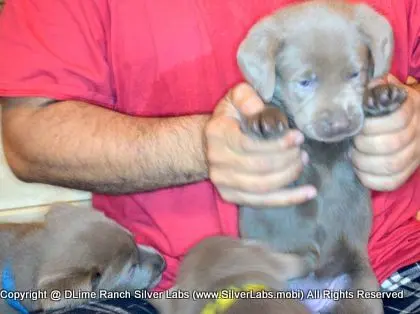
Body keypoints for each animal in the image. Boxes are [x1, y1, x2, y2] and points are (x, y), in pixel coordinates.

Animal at [235, 0, 406, 314]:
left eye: (354, 74)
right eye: (305, 82)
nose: (339, 124)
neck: (320, 148)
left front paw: (380, 96)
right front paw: (264, 118)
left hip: (360, 286)